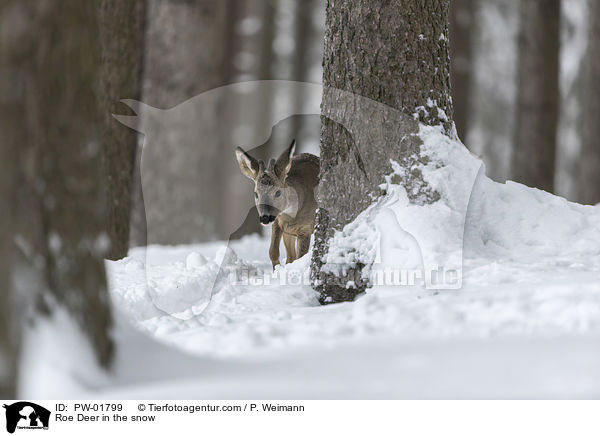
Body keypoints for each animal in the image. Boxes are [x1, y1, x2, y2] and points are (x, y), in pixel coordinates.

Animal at [234, 140, 318, 270]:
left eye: (278, 192)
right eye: (256, 193)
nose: (265, 217)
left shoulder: (306, 228)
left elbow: (300, 256)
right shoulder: (278, 222)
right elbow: (272, 252)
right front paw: (276, 270)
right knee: (290, 257)